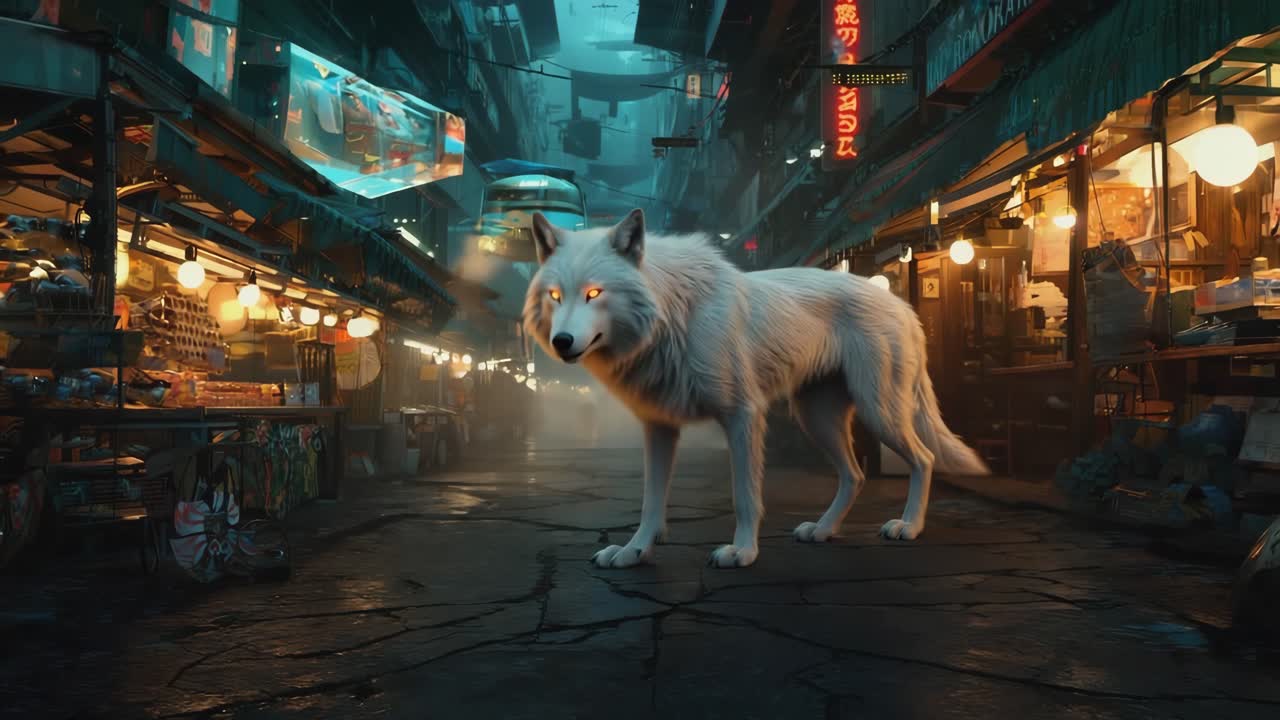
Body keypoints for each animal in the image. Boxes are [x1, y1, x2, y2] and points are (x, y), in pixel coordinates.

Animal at [522, 209, 989, 569]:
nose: (562, 342)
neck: (673, 315)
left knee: (924, 458)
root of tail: (903, 306)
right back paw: (822, 530)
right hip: (816, 420)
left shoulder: (742, 416)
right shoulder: (659, 427)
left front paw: (742, 552)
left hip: (878, 412)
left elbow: (745, 495)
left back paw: (908, 526)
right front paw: (634, 552)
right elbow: (651, 502)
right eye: (556, 296)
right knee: (855, 475)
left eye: (594, 293)